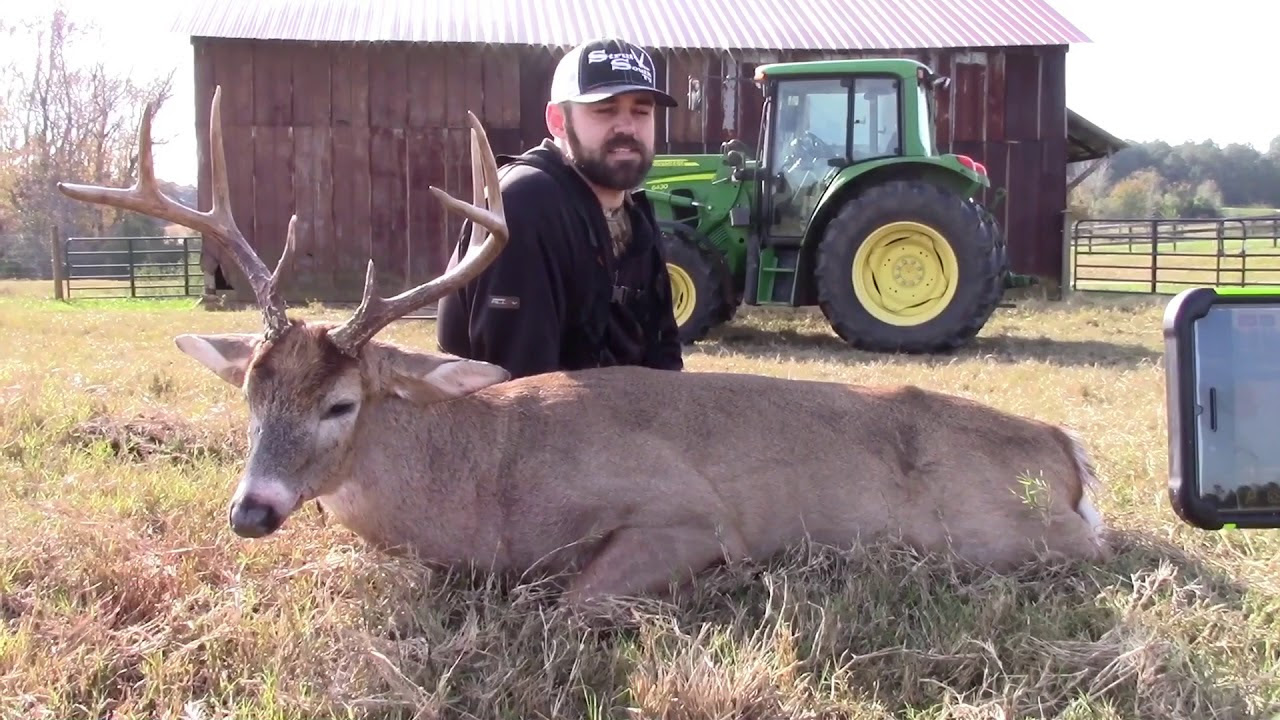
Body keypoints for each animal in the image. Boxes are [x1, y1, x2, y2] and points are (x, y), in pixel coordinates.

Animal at [57, 86, 1110, 610]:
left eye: (342, 403)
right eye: (249, 394)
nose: (252, 511)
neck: (485, 483)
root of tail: (1067, 448)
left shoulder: (686, 512)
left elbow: (570, 600)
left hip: (1005, 531)